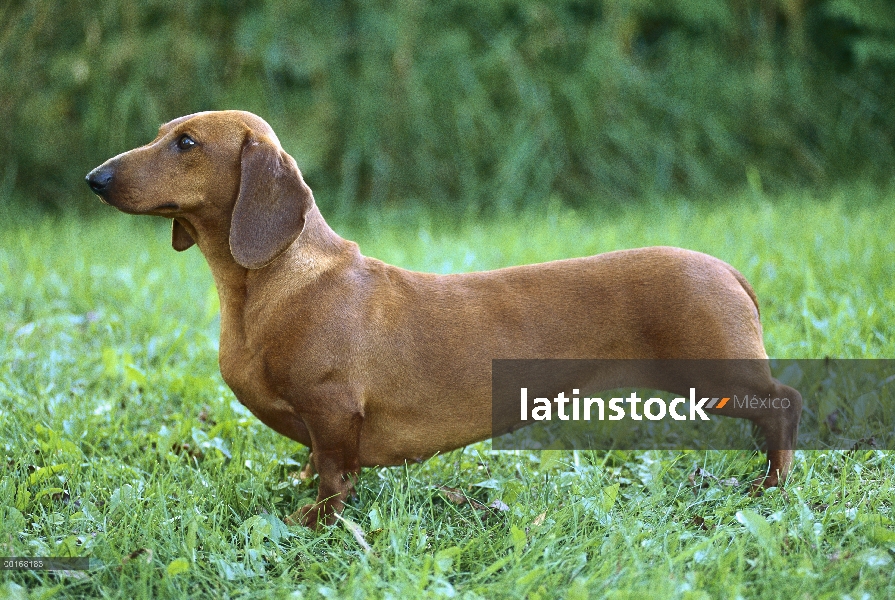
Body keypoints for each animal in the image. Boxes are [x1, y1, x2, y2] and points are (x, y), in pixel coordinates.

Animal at [89, 110, 804, 528]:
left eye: (186, 143)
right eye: (162, 132)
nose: (95, 178)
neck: (281, 282)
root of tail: (727, 270)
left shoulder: (333, 411)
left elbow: (334, 476)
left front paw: (313, 523)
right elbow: (313, 463)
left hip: (715, 374)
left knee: (784, 404)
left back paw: (770, 485)